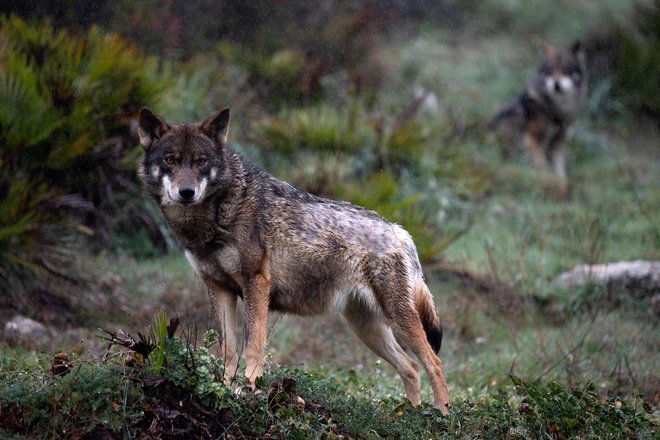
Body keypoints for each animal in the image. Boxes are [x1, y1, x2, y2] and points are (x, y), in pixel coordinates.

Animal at [137, 106, 452, 412]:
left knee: (434, 363)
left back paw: (440, 415)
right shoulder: (218, 287)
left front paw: (250, 389)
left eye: (201, 161)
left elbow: (253, 345)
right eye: (170, 160)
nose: (186, 192)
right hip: (366, 328)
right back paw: (411, 414)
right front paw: (224, 389)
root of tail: (400, 231)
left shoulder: (256, 283)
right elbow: (228, 351)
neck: (215, 215)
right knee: (411, 368)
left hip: (397, 318)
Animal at [490, 40, 588, 196]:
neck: (558, 110)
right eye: (550, 71)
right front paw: (547, 183)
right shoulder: (532, 140)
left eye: (565, 70)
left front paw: (562, 189)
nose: (556, 85)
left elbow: (561, 173)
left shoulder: (558, 144)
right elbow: (542, 166)